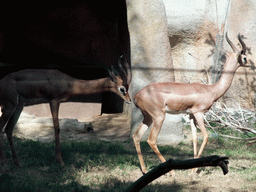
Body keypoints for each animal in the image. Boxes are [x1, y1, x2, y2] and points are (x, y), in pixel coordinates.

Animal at [0, 55, 131, 166]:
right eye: (122, 88)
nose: (129, 100)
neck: (67, 82)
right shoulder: (53, 101)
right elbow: (57, 127)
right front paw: (60, 160)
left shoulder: (56, 102)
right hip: (8, 107)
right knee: (2, 128)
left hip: (19, 106)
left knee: (8, 129)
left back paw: (17, 163)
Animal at [133, 33, 249, 174]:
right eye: (244, 57)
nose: (249, 64)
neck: (211, 90)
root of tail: (137, 95)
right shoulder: (199, 113)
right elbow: (205, 136)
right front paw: (195, 169)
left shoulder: (191, 115)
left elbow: (194, 138)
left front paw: (192, 168)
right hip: (158, 117)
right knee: (151, 140)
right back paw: (170, 171)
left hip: (148, 118)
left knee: (137, 136)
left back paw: (144, 170)